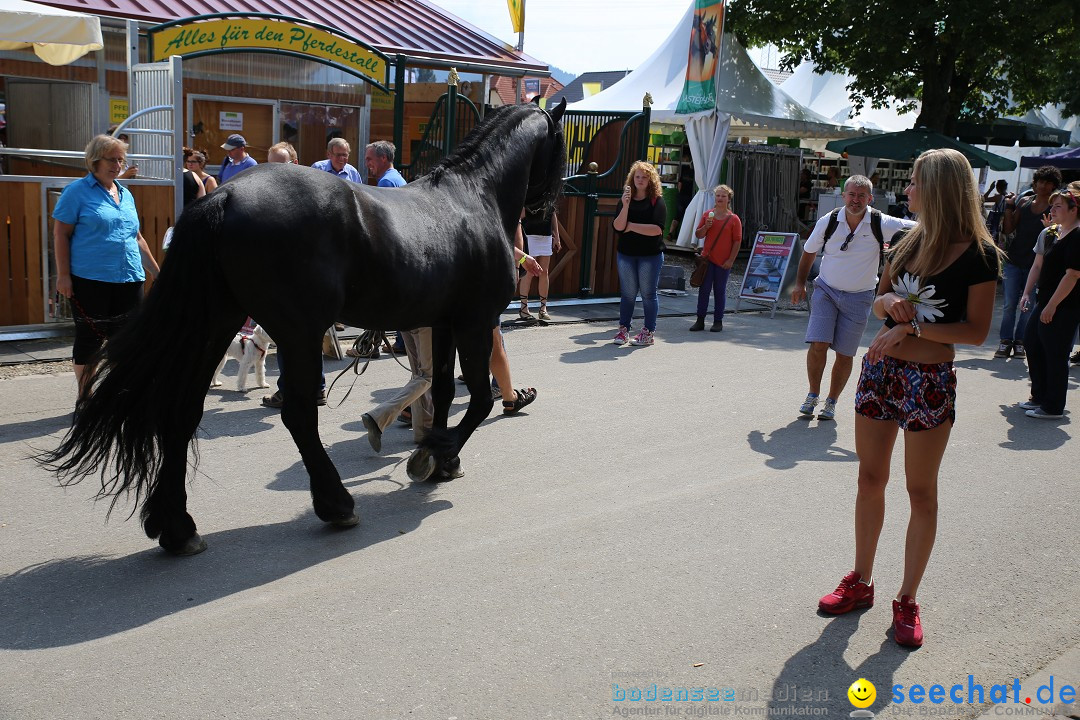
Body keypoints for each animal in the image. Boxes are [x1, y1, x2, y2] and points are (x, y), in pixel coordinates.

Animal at [39, 98, 570, 557]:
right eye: (562, 141)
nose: (546, 212)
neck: (471, 197)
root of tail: (224, 195)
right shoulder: (475, 322)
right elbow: (477, 399)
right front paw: (438, 452)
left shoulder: (441, 323)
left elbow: (440, 391)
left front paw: (441, 458)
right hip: (297, 332)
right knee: (297, 414)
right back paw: (335, 504)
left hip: (216, 325)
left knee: (183, 410)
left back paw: (177, 527)